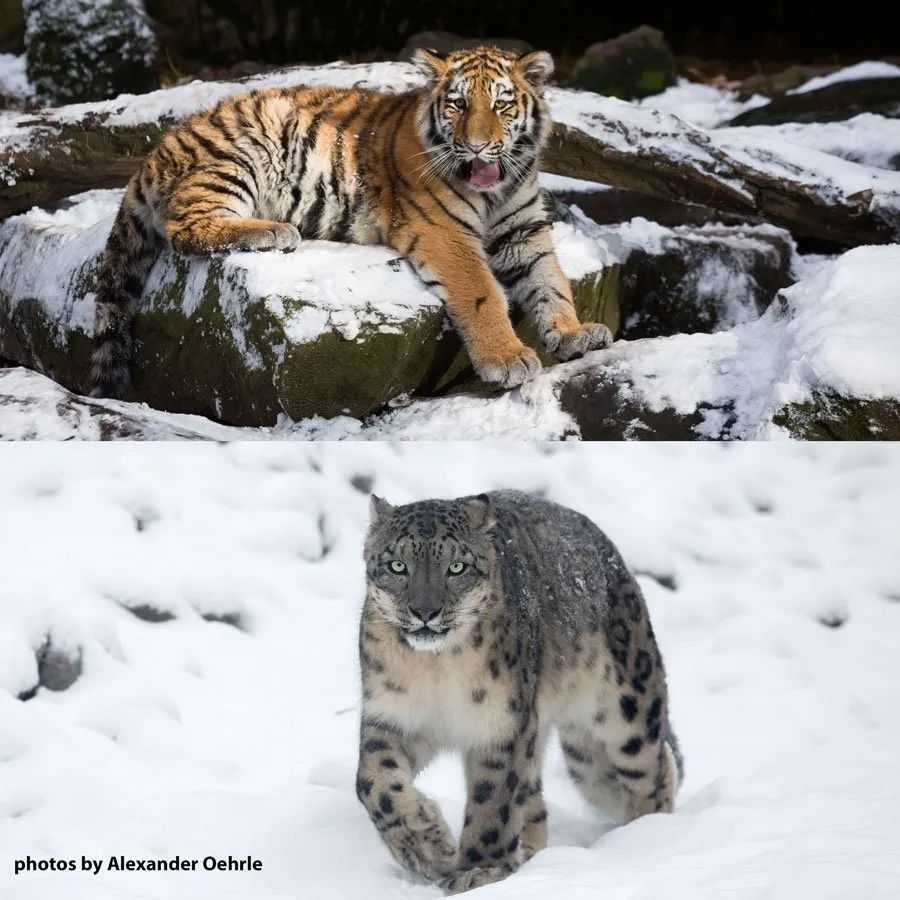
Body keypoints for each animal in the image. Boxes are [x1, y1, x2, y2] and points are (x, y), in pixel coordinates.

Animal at [90, 45, 612, 400]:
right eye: (458, 104)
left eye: (503, 105)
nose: (480, 146)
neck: (497, 187)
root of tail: (159, 148)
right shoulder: (444, 232)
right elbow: (481, 292)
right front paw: (506, 358)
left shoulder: (524, 231)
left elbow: (552, 282)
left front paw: (571, 333)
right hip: (240, 153)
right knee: (185, 226)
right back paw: (272, 230)